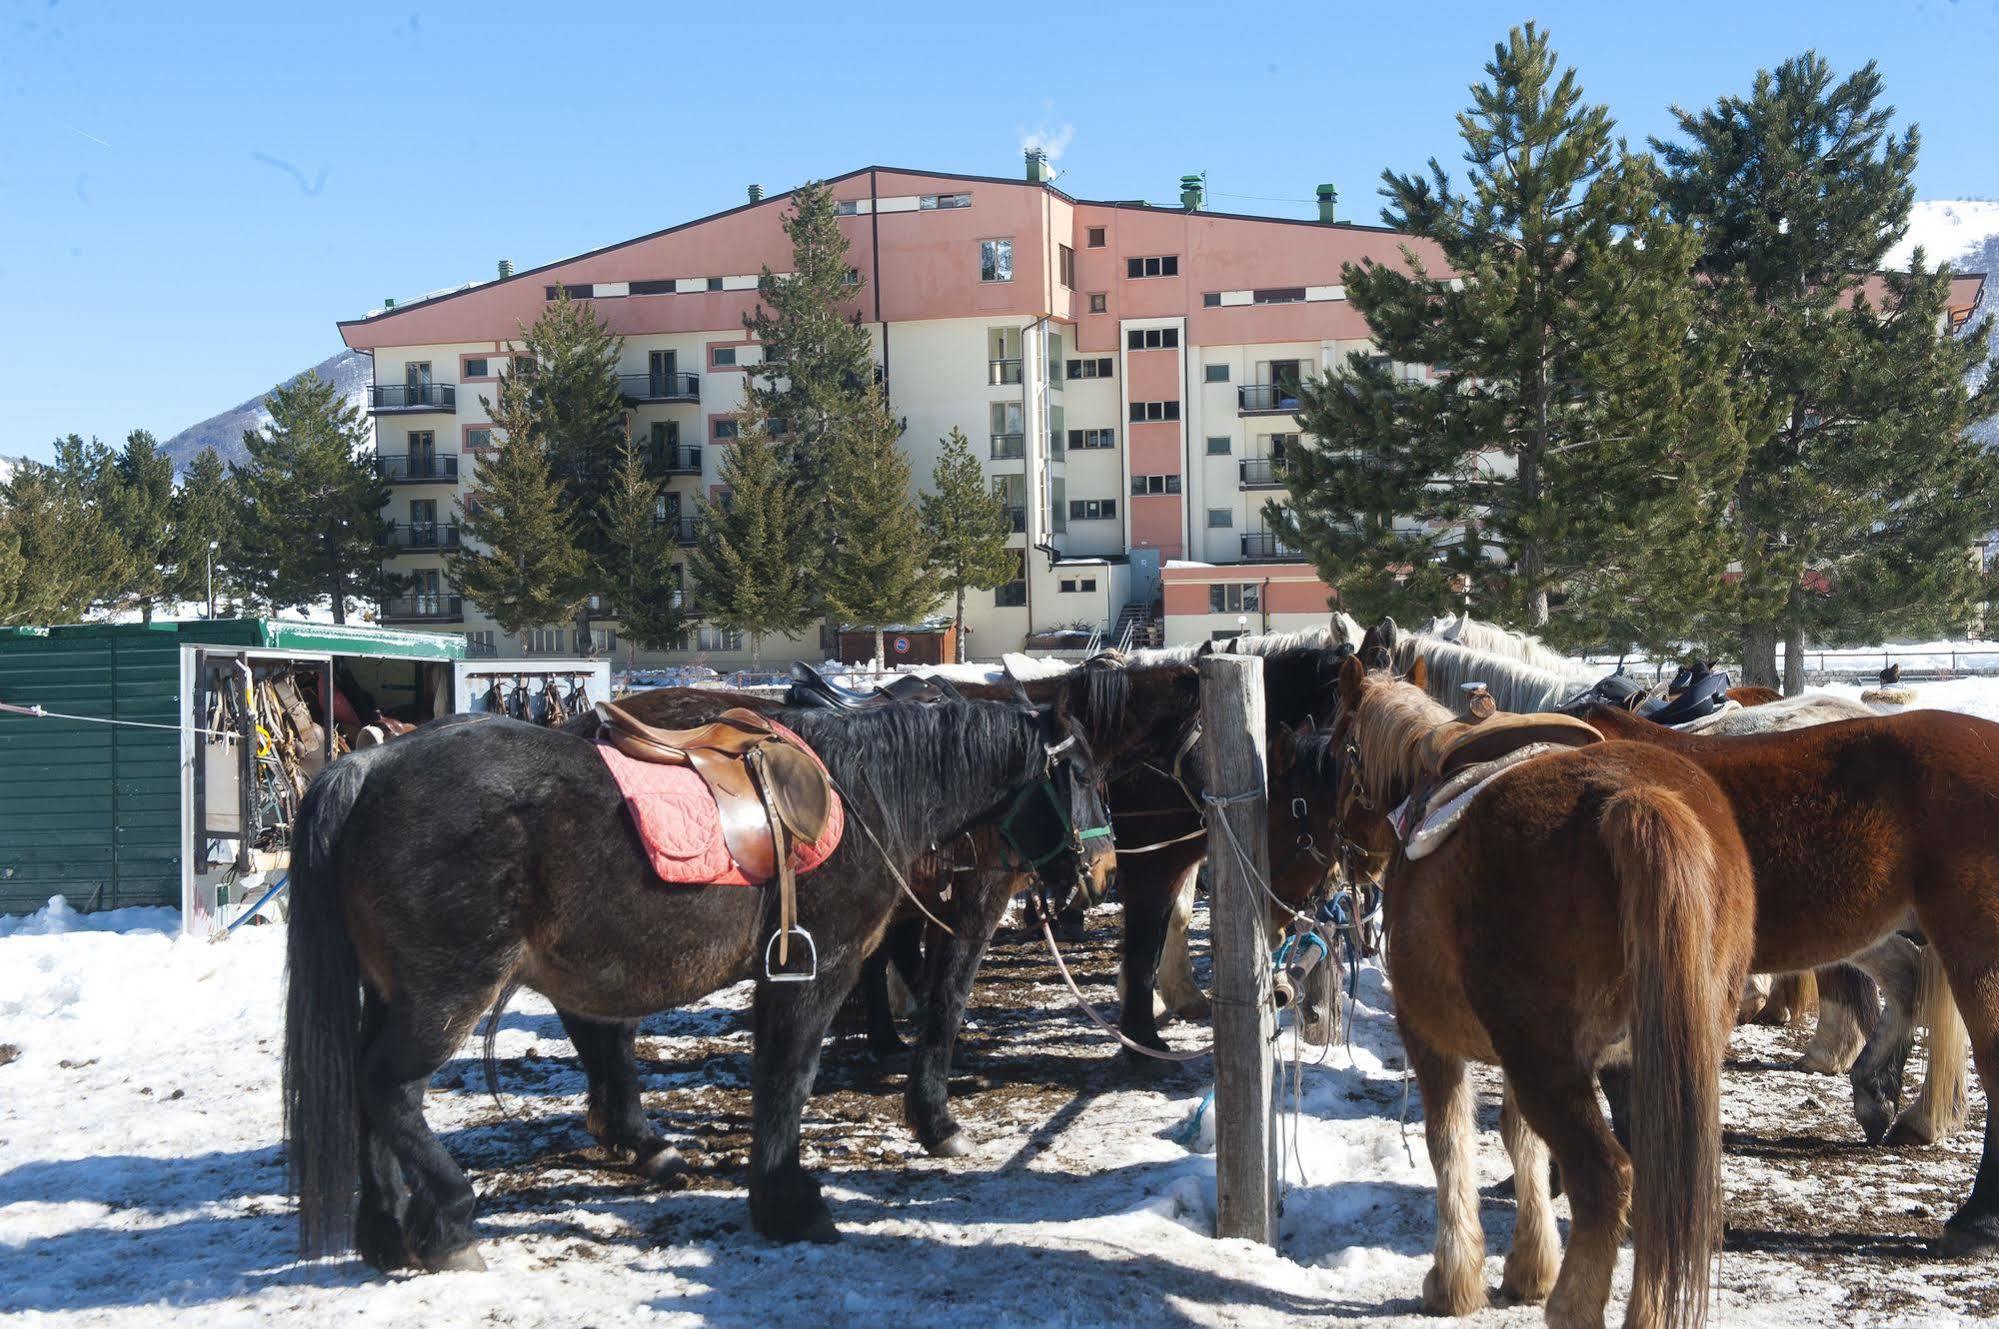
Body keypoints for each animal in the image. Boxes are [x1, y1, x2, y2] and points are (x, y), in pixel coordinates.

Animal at [281, 695, 1119, 1263]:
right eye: (1079, 773)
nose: (1103, 866)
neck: (866, 795)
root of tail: (366, 765)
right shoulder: (818, 968)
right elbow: (789, 1079)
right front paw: (787, 1201)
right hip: (445, 997)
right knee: (389, 1085)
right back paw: (450, 1218)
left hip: (397, 994)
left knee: (373, 1092)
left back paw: (387, 1228)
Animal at [1311, 655, 1751, 1327]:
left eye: (1339, 752)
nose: (1344, 853)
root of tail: (1635, 797)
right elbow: (1522, 1142)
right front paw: (1529, 1267)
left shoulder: (1430, 1035)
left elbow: (1449, 1140)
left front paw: (1454, 1280)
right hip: (1657, 1054)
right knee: (1657, 1179)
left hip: (1546, 1059)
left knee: (1606, 1178)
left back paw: (1571, 1306)